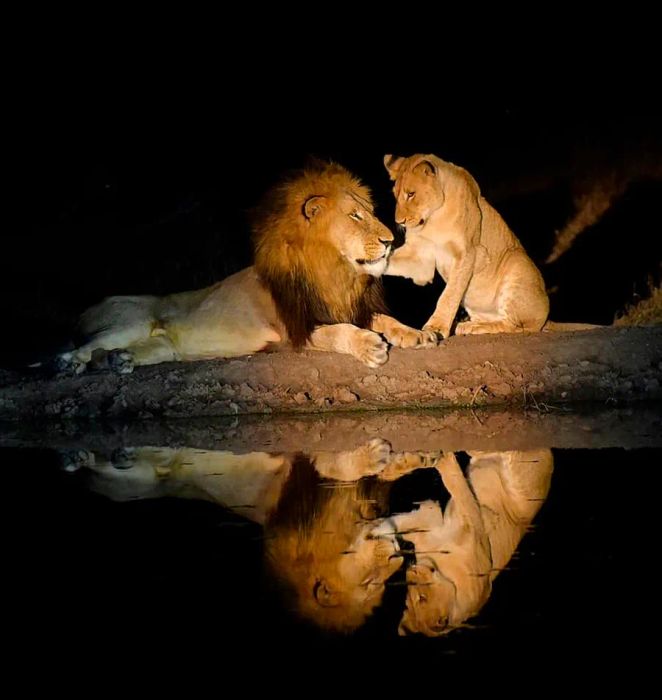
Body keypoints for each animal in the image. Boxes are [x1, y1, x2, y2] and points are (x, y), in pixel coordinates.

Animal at [57, 162, 438, 374]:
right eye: (354, 216)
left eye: (369, 213)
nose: (390, 240)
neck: (335, 271)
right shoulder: (292, 330)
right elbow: (336, 332)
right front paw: (368, 346)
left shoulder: (348, 307)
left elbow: (385, 319)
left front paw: (416, 333)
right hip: (132, 320)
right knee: (86, 345)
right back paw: (70, 363)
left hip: (163, 347)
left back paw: (118, 361)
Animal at [384, 154, 548, 340]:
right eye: (396, 196)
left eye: (411, 194)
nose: (399, 222)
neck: (433, 219)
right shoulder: (420, 257)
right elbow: (388, 259)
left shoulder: (468, 253)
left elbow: (449, 294)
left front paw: (436, 327)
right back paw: (467, 324)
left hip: (517, 262)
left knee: (516, 326)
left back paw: (472, 327)